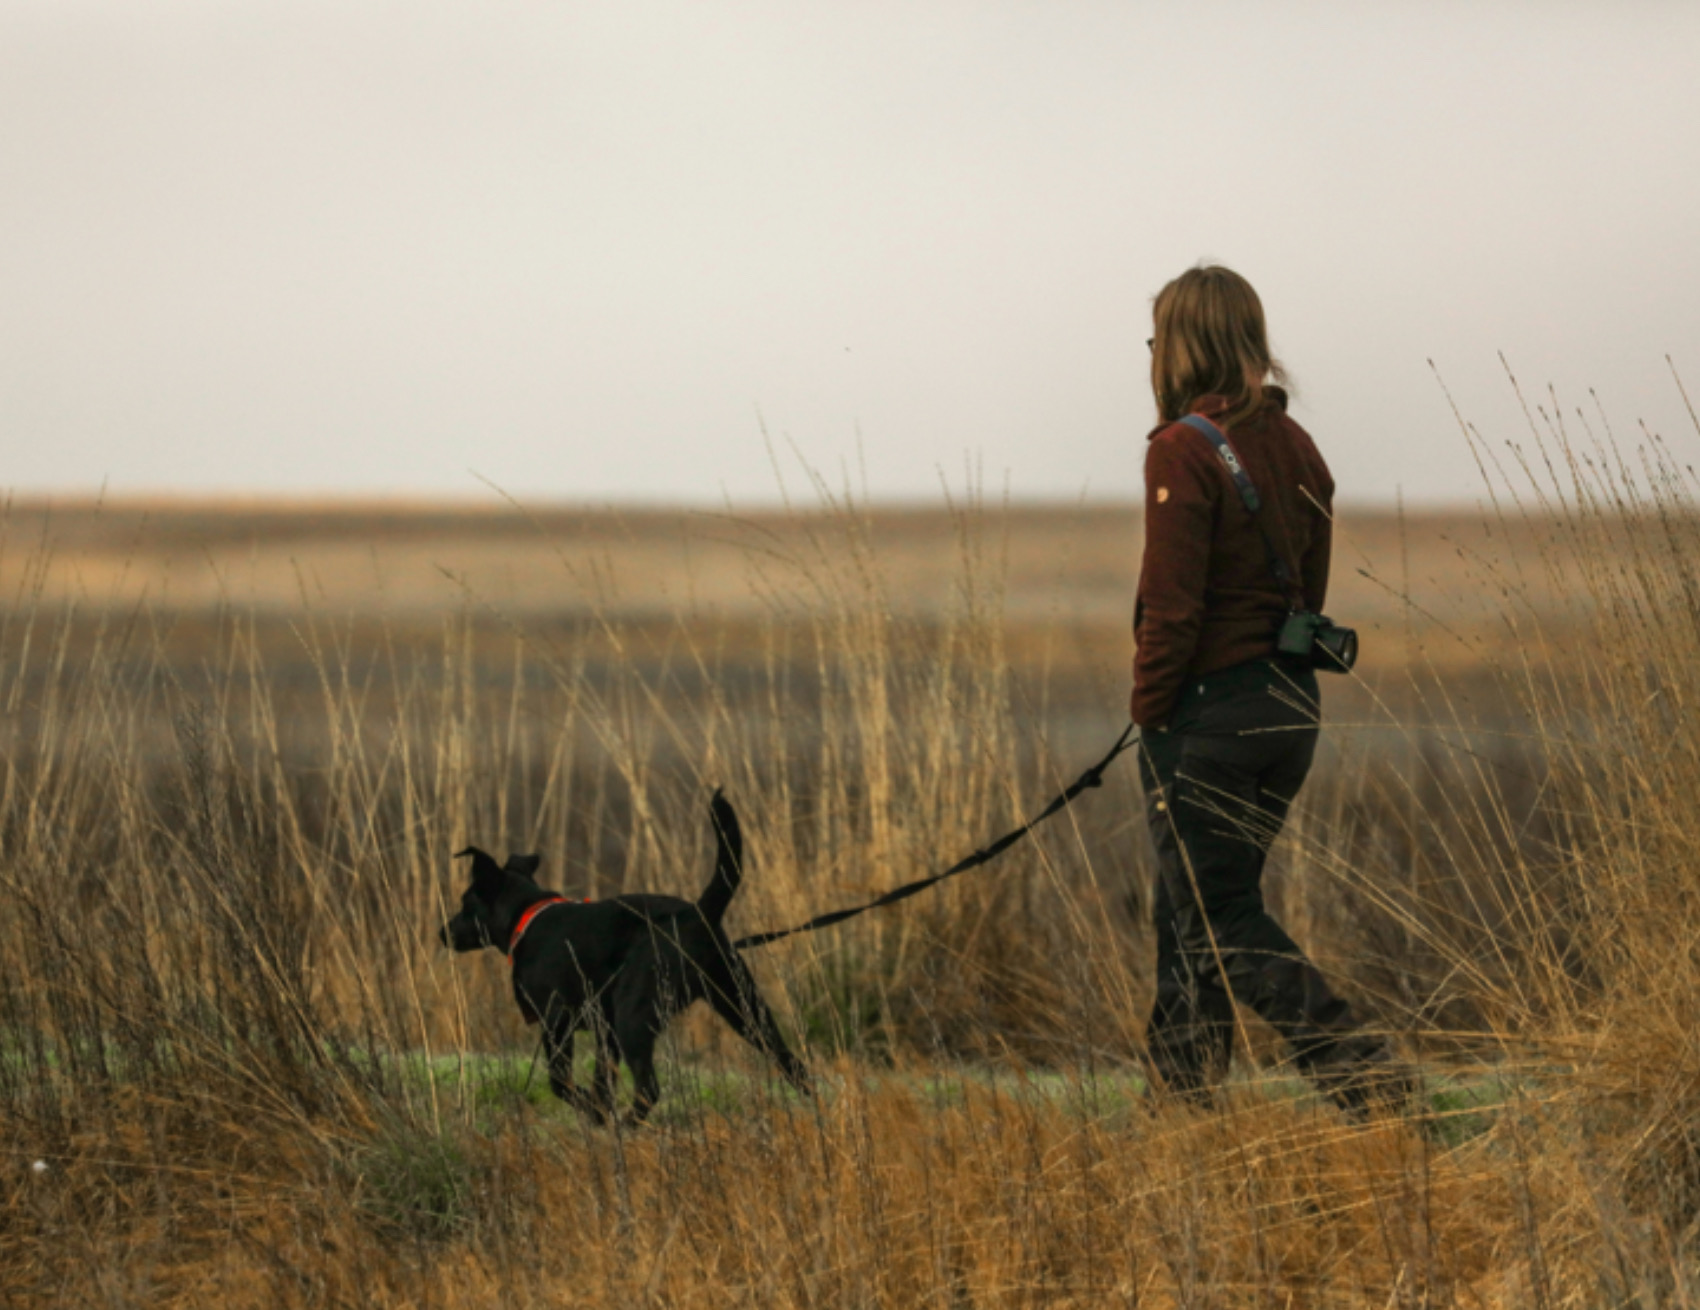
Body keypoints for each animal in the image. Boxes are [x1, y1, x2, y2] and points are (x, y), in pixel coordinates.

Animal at [438, 788, 809, 1128]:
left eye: (466, 902)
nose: (443, 932)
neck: (526, 916)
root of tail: (699, 914)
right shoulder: (605, 1031)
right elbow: (603, 1082)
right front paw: (600, 1115)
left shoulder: (557, 1019)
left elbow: (560, 1080)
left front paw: (591, 1110)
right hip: (742, 1006)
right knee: (792, 1062)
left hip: (634, 1015)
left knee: (649, 1087)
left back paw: (629, 1125)